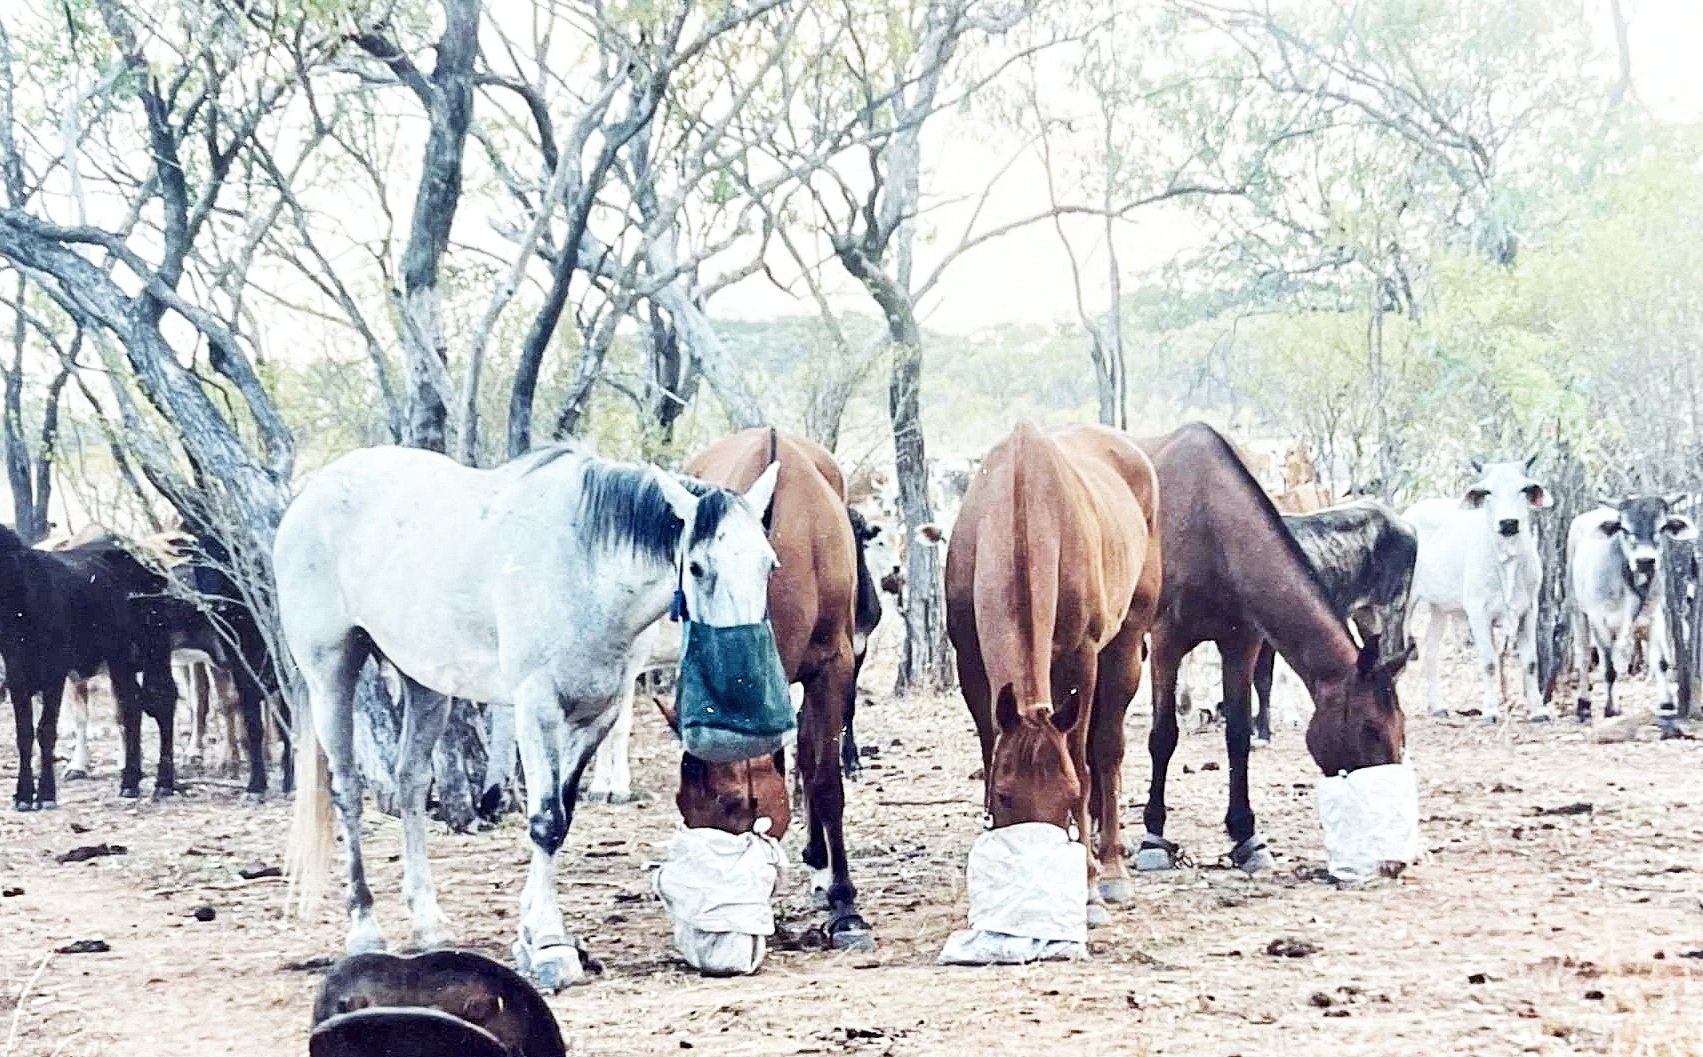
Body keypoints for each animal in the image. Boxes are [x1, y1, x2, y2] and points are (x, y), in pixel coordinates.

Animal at [3, 525, 181, 808]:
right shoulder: (15, 670)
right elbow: (24, 734)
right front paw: (23, 795)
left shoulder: (55, 670)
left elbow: (46, 731)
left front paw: (46, 794)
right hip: (120, 657)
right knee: (131, 704)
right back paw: (130, 782)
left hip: (155, 646)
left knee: (162, 699)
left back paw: (163, 783)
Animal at [279, 442, 780, 989]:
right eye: (697, 568)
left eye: (769, 566)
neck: (585, 564)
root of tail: (313, 492)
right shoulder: (537, 708)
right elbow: (546, 821)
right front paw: (549, 946)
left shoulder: (598, 715)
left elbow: (563, 815)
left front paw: (530, 933)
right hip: (331, 673)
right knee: (347, 793)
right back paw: (365, 928)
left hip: (425, 684)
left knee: (410, 784)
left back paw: (428, 924)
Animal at [945, 422, 1162, 904]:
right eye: (1005, 796)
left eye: (1066, 797)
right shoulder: (970, 666)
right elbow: (989, 749)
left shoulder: (1081, 659)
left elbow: (1082, 761)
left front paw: (1089, 879)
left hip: (1124, 644)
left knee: (1108, 750)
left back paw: (1112, 863)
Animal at [1132, 424, 1409, 873]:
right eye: (1369, 728)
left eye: (1401, 729)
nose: (1393, 859)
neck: (1209, 521)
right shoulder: (1166, 642)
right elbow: (1163, 736)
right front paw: (1153, 836)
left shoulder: (1241, 642)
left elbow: (1238, 736)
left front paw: (1247, 836)